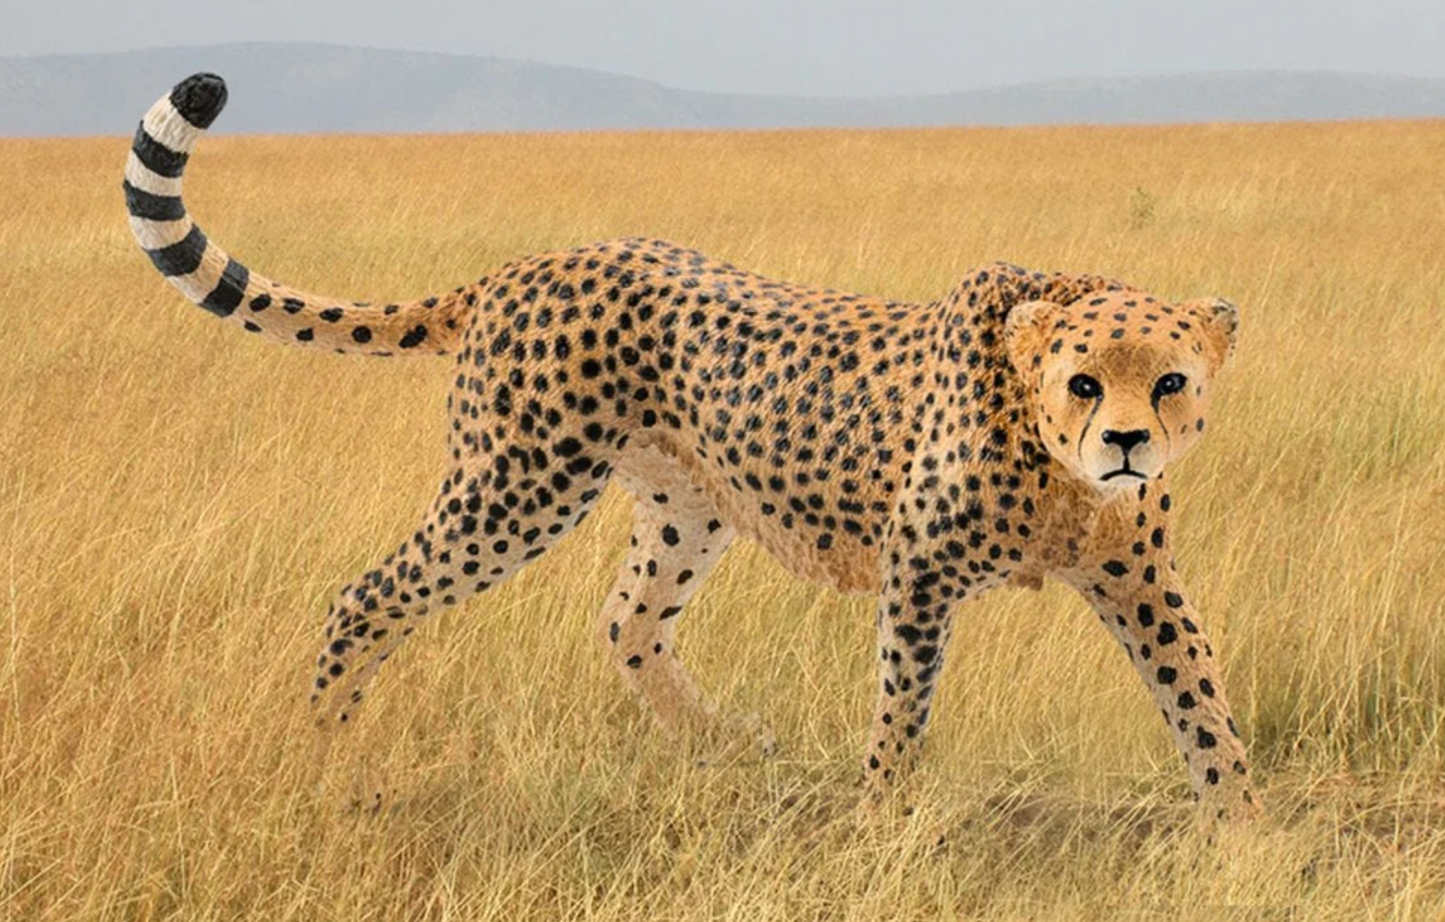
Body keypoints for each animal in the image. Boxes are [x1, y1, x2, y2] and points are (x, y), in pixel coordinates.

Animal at [124, 73, 1260, 824]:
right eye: (1083, 382)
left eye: (1168, 380)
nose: (1126, 441)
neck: (1057, 467)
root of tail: (530, 262)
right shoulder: (920, 570)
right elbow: (903, 705)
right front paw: (881, 816)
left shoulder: (1137, 576)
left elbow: (1197, 694)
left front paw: (1242, 827)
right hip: (517, 485)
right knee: (368, 594)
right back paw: (328, 754)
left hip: (685, 503)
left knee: (626, 619)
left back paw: (724, 743)